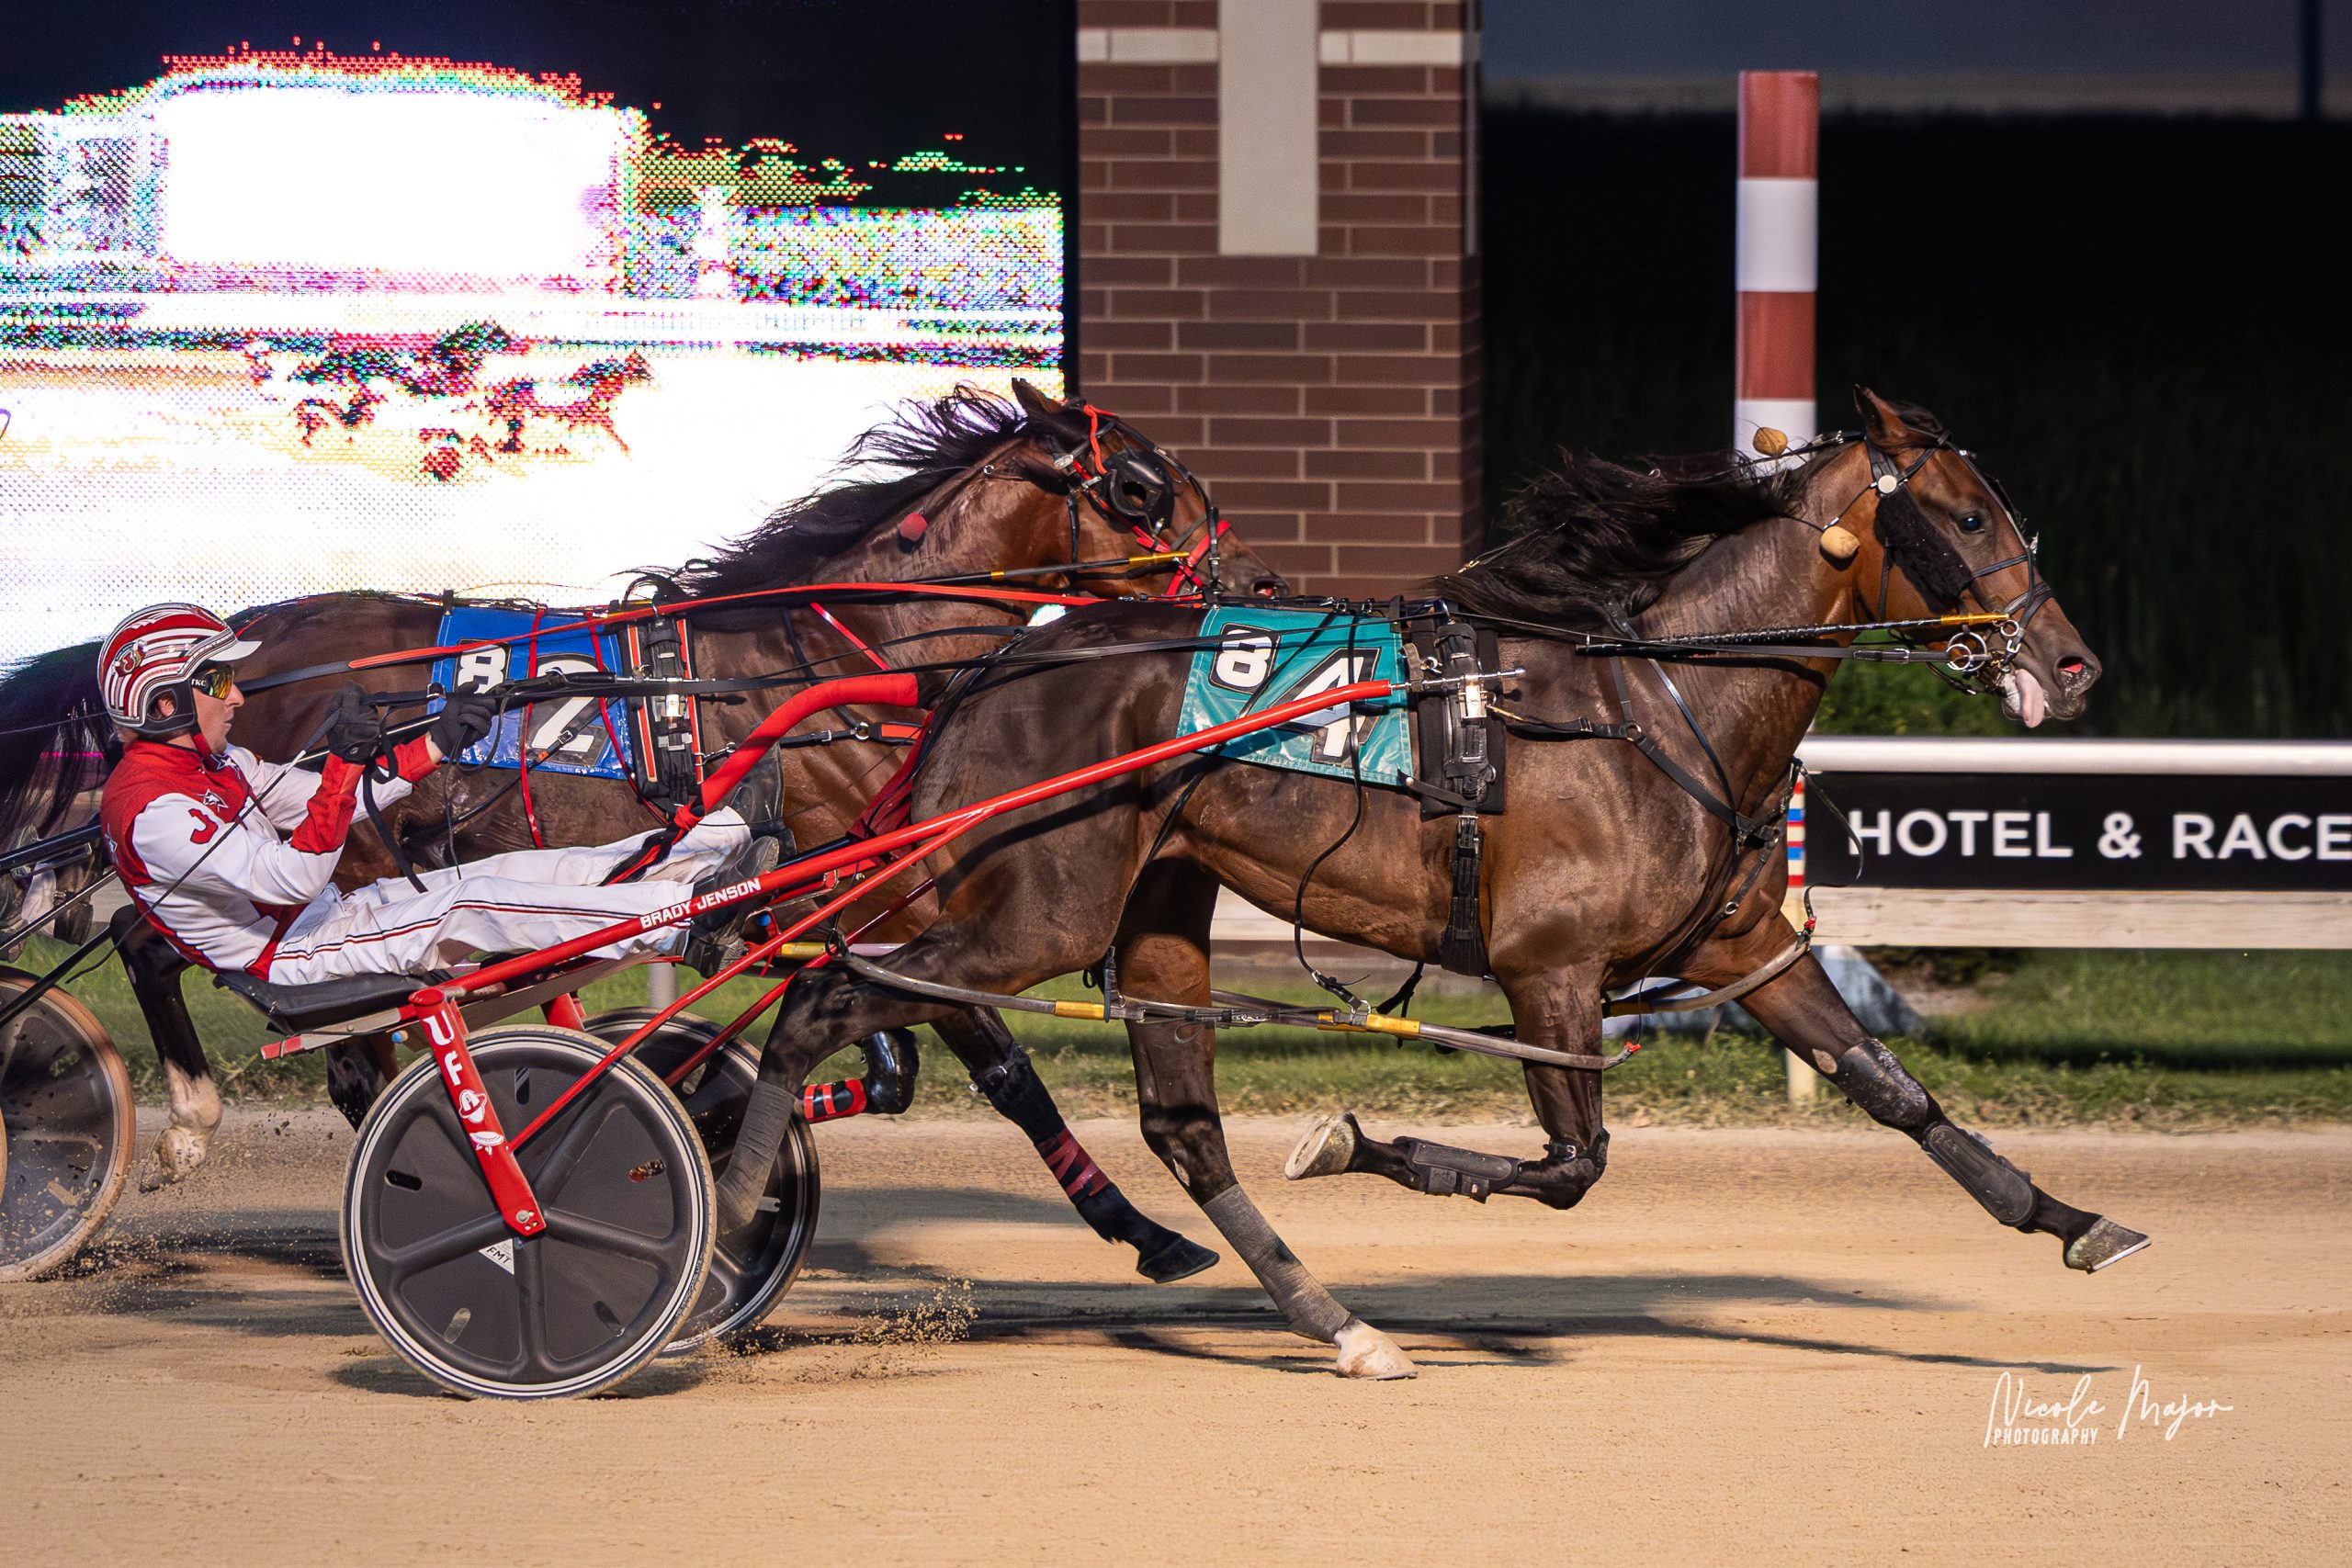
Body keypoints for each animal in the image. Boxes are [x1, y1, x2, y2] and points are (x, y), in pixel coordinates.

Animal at [0, 382, 1285, 1283]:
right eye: (1139, 487)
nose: (1254, 583)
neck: (824, 663)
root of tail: (257, 635)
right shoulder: (880, 901)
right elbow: (1005, 1068)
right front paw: (1145, 1231)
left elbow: (898, 1066)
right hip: (294, 868)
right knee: (160, 947)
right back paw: (210, 1127)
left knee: (323, 1036)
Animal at [710, 387, 2142, 1379]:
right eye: (1967, 517)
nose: (2072, 664)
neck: (1654, 702)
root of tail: (1000, 662)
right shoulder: (1547, 968)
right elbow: (1570, 1167)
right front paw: (1349, 1137)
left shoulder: (1741, 948)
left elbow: (1894, 1091)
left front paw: (2071, 1216)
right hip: (1028, 909)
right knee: (825, 1001)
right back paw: (722, 1230)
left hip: (1147, 906)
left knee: (1179, 1124)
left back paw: (1339, 1324)